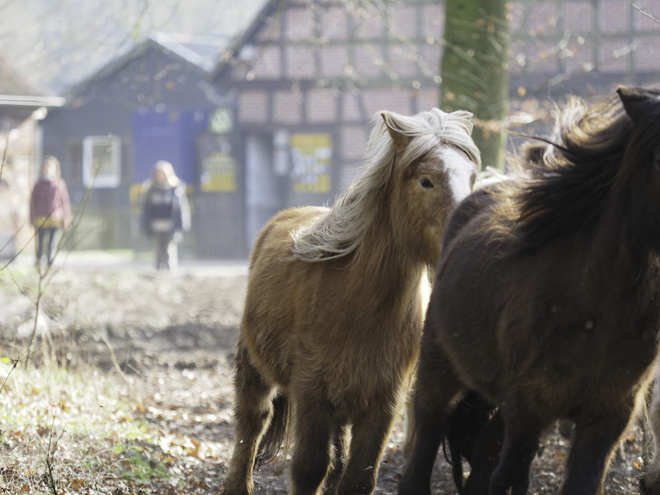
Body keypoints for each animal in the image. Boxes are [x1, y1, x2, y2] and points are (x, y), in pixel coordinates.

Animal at [223, 108, 480, 495]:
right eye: (426, 181)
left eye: (473, 177)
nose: (467, 235)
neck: (359, 304)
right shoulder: (311, 393)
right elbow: (309, 467)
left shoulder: (383, 403)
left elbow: (358, 477)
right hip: (254, 367)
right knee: (252, 422)